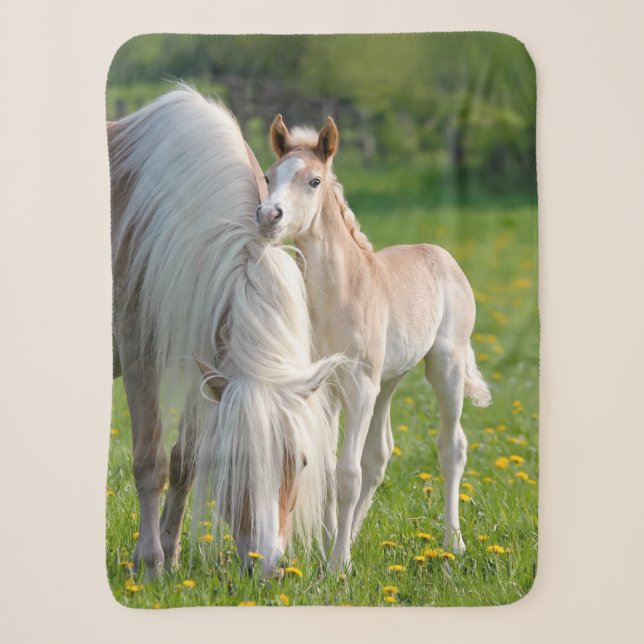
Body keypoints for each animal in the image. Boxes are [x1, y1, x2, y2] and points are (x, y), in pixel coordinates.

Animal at [109, 86, 341, 577]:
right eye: (234, 461)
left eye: (302, 461)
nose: (267, 567)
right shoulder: (140, 351)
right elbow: (151, 460)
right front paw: (150, 561)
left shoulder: (208, 359)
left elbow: (185, 460)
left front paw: (171, 553)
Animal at [256, 115, 492, 570]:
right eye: (269, 176)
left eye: (314, 180)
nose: (268, 216)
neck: (340, 293)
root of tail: (441, 254)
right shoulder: (326, 388)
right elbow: (331, 469)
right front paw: (330, 546)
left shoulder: (359, 384)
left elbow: (347, 473)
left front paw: (337, 566)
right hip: (387, 382)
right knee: (379, 456)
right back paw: (354, 535)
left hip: (443, 367)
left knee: (451, 448)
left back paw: (453, 543)